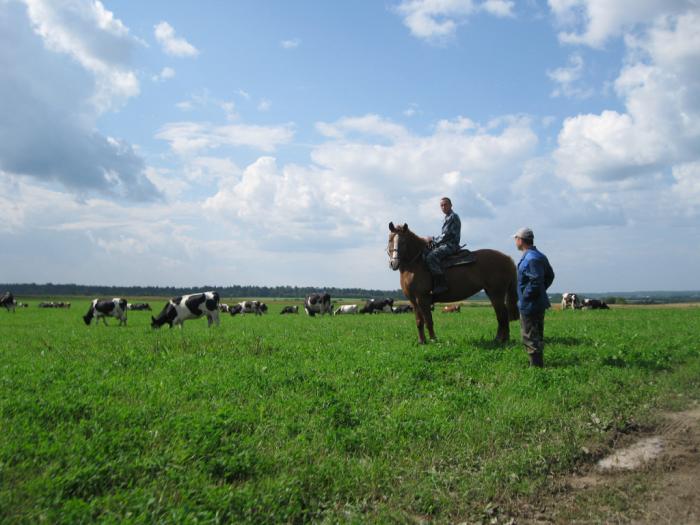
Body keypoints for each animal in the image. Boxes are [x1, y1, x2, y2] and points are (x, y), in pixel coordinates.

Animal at [388, 221, 520, 344]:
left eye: (403, 242)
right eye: (390, 239)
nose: (394, 263)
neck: (416, 264)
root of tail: (507, 258)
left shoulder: (423, 299)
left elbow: (428, 321)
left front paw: (433, 340)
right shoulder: (413, 301)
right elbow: (419, 321)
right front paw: (422, 341)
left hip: (496, 293)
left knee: (502, 315)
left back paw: (500, 339)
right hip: (492, 293)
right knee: (502, 315)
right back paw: (503, 339)